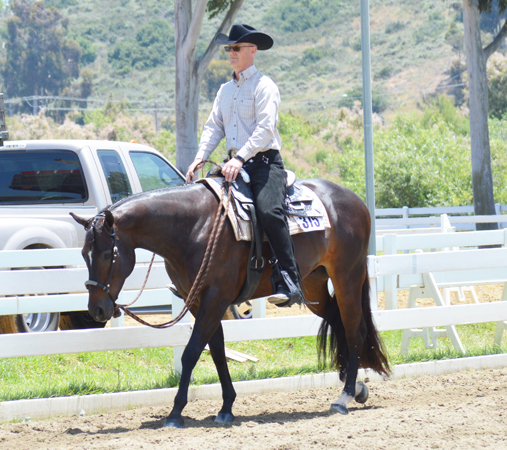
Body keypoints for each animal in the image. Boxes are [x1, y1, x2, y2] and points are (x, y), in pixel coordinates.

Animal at [70, 178, 388, 428]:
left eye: (107, 255)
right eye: (84, 254)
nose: (97, 309)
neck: (194, 228)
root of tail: (355, 201)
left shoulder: (214, 299)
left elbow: (191, 353)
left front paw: (175, 412)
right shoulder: (200, 302)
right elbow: (218, 352)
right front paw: (226, 407)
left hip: (348, 276)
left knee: (354, 329)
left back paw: (345, 396)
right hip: (314, 283)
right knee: (337, 321)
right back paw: (355, 385)